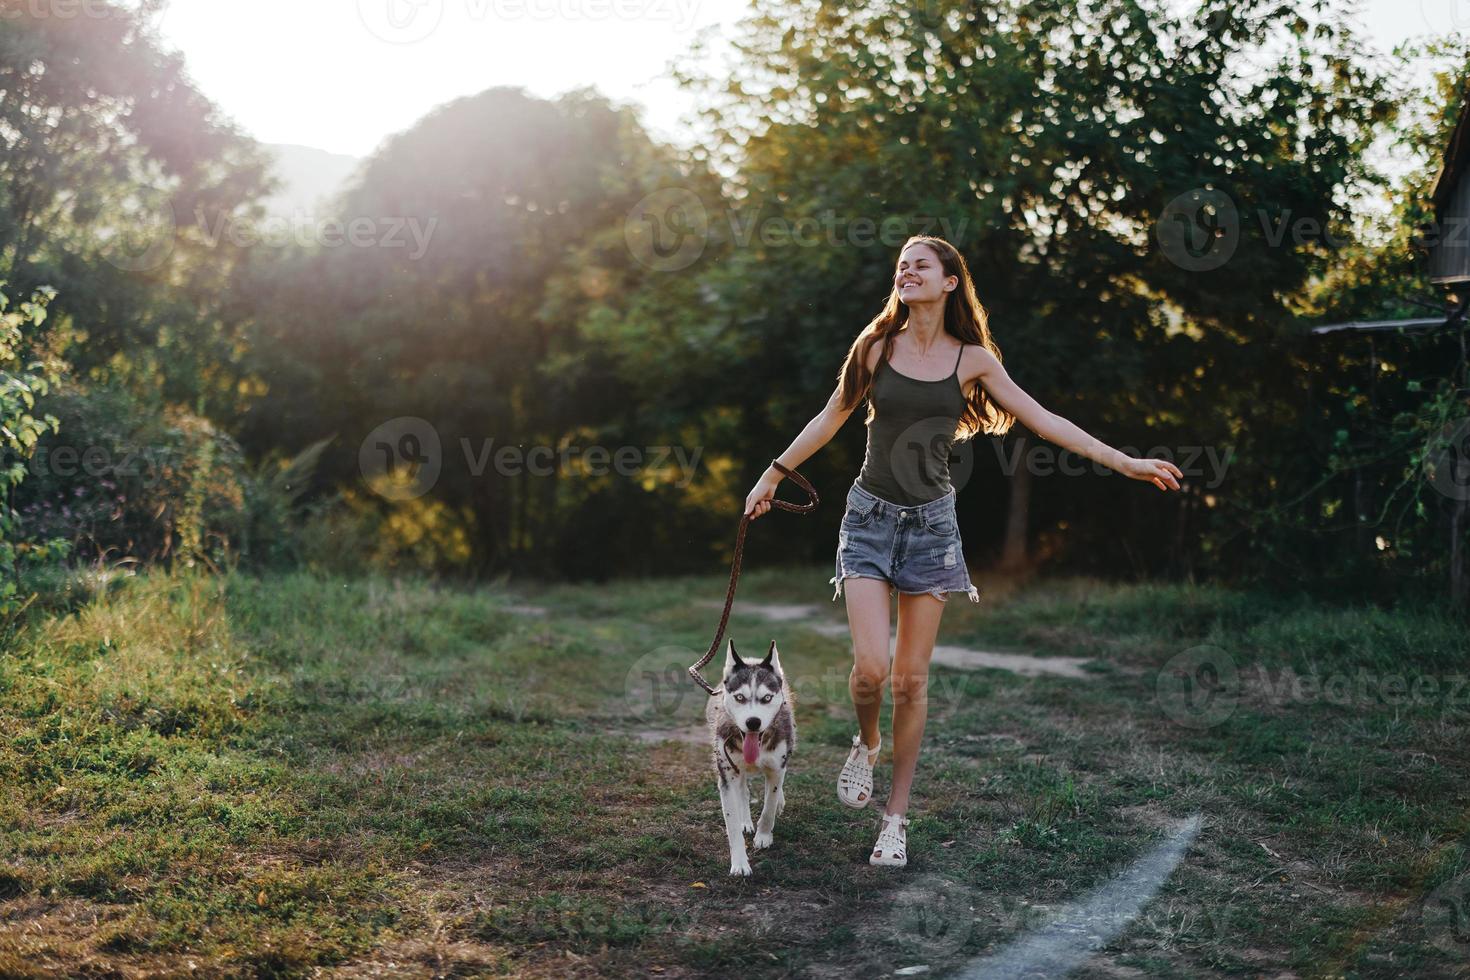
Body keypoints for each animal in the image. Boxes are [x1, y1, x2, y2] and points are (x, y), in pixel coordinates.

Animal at [705, 640, 799, 875]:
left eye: (767, 698)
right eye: (740, 697)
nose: (753, 722)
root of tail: (752, 659)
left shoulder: (776, 769)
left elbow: (769, 806)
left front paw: (764, 836)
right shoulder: (727, 776)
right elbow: (732, 822)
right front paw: (739, 862)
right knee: (743, 791)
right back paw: (745, 821)